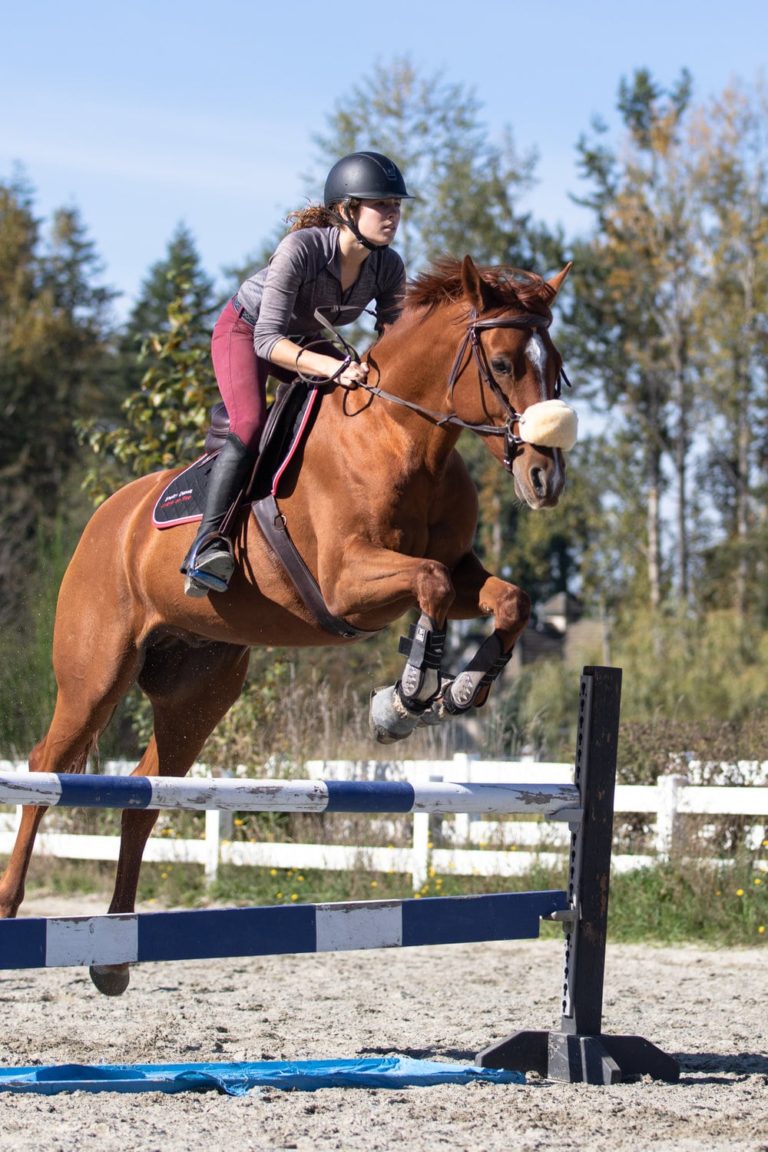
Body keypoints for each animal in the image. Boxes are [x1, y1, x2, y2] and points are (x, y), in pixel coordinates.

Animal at [0, 255, 576, 995]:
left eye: (554, 368)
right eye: (502, 364)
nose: (543, 477)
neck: (403, 437)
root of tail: (106, 520)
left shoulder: (456, 569)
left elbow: (508, 600)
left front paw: (462, 688)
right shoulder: (347, 585)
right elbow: (432, 584)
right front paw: (407, 697)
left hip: (198, 693)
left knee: (145, 795)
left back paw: (115, 954)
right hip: (95, 674)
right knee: (45, 772)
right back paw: (14, 908)